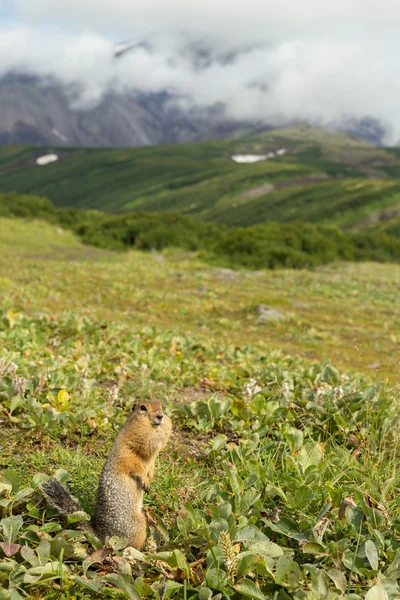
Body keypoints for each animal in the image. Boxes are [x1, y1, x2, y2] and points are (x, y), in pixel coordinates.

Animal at [40, 400, 172, 552]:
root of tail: (102, 538)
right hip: (137, 524)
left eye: (161, 406)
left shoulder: (151, 460)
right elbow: (134, 466)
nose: (160, 416)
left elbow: (151, 468)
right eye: (143, 408)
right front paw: (144, 480)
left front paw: (149, 478)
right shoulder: (127, 452)